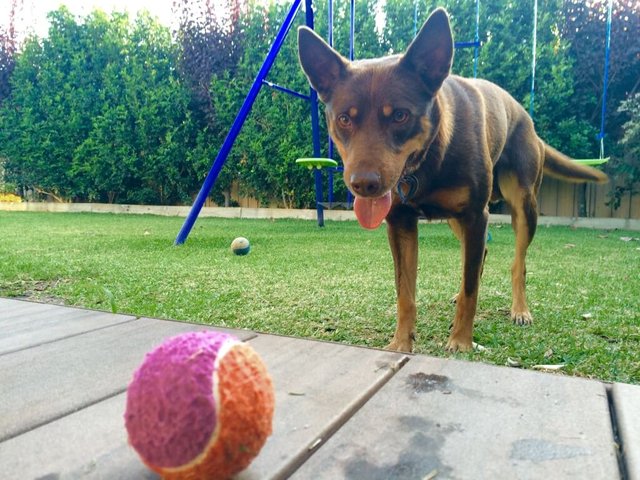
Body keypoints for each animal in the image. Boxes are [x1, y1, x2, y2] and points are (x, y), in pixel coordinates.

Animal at [298, 7, 608, 352]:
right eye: (344, 119)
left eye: (400, 116)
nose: (363, 184)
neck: (430, 159)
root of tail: (530, 125)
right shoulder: (402, 223)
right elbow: (405, 292)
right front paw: (401, 343)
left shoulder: (475, 215)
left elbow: (472, 288)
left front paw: (460, 342)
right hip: (457, 220)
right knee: (479, 256)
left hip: (523, 205)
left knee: (517, 262)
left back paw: (520, 309)